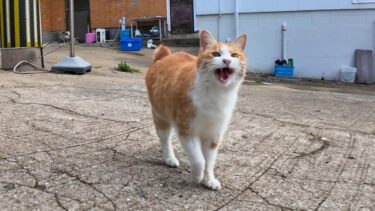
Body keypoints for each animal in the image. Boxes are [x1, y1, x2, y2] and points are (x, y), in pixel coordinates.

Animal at [145, 30, 248, 190]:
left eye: (234, 55)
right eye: (216, 54)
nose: (226, 61)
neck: (215, 94)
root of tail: (164, 56)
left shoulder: (213, 135)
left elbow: (209, 161)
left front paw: (209, 179)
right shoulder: (187, 131)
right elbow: (199, 160)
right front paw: (197, 176)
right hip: (160, 115)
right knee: (165, 139)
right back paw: (169, 158)